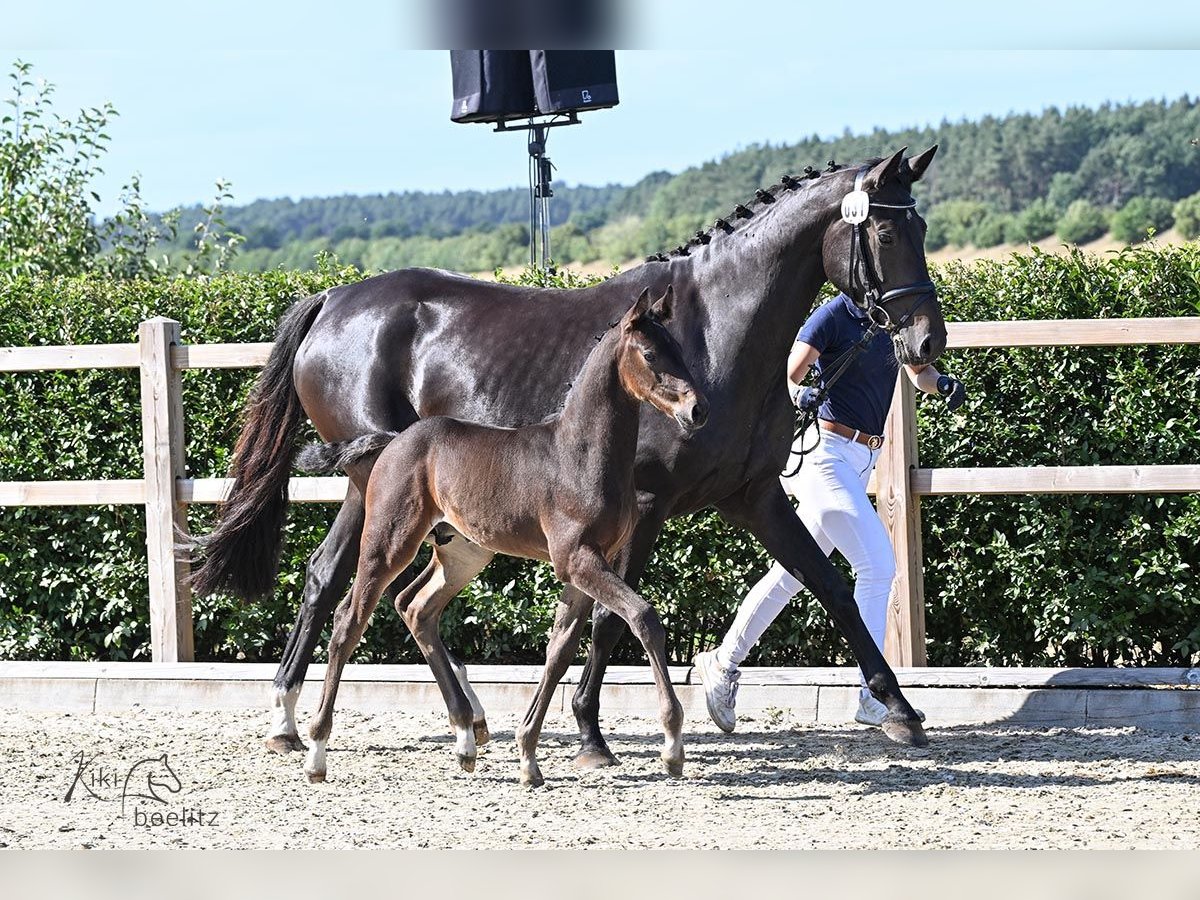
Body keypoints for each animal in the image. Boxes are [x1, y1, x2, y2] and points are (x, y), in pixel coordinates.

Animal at [295, 286, 706, 786]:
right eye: (650, 354)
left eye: (679, 350)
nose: (698, 410)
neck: (578, 454)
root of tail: (392, 440)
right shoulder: (578, 558)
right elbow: (643, 617)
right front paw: (672, 744)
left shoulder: (585, 565)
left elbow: (559, 650)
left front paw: (528, 756)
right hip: (388, 541)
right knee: (348, 620)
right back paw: (316, 752)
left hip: (462, 553)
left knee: (417, 608)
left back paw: (465, 740)